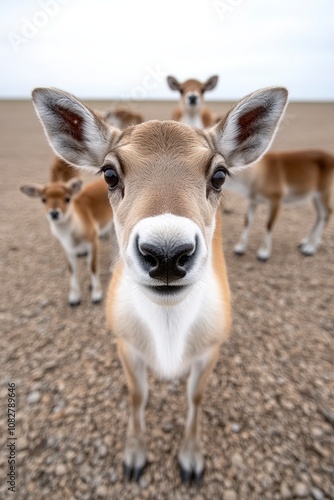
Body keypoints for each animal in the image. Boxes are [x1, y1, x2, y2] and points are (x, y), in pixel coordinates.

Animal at [20, 178, 113, 306]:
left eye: (67, 198)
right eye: (43, 199)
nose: (54, 213)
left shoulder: (93, 241)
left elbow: (93, 267)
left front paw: (96, 295)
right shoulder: (68, 249)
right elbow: (71, 270)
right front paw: (74, 298)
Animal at [30, 86, 288, 484]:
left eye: (219, 175)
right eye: (109, 173)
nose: (167, 254)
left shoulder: (211, 347)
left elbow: (195, 397)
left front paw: (191, 461)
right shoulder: (124, 342)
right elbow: (137, 395)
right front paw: (134, 458)